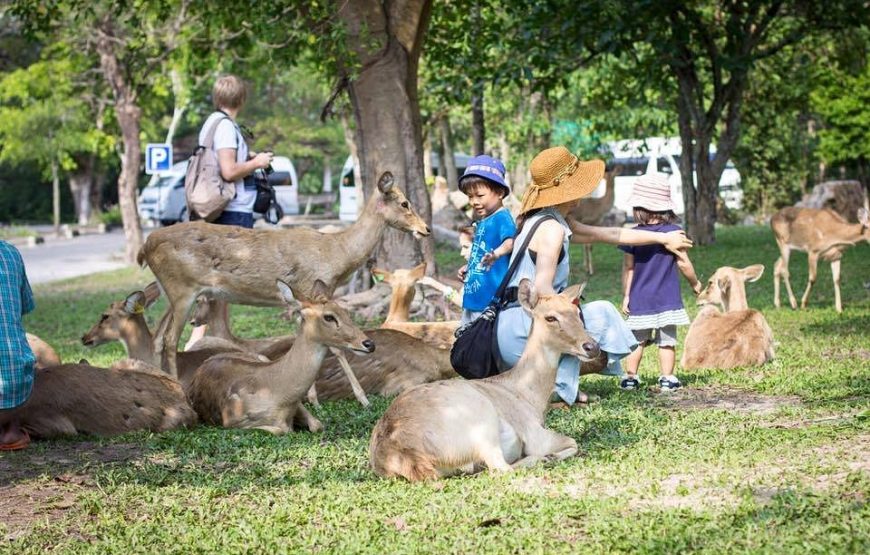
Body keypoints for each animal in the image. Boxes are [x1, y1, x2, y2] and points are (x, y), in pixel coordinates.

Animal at [138, 172, 430, 380]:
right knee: (169, 340)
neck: (337, 252)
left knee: (157, 337)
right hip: (183, 290)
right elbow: (332, 346)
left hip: (170, 291)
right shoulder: (310, 287)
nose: (426, 228)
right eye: (405, 202)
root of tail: (145, 248)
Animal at [189, 280, 372, 436]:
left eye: (345, 311)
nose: (369, 343)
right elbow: (280, 430)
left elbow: (317, 425)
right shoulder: (231, 421)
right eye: (329, 317)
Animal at [368, 280, 600, 480]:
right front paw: (551, 455)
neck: (529, 397)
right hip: (481, 420)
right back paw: (543, 459)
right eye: (550, 318)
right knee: (500, 467)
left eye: (577, 313)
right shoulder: (533, 433)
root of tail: (404, 454)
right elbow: (573, 441)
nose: (592, 346)